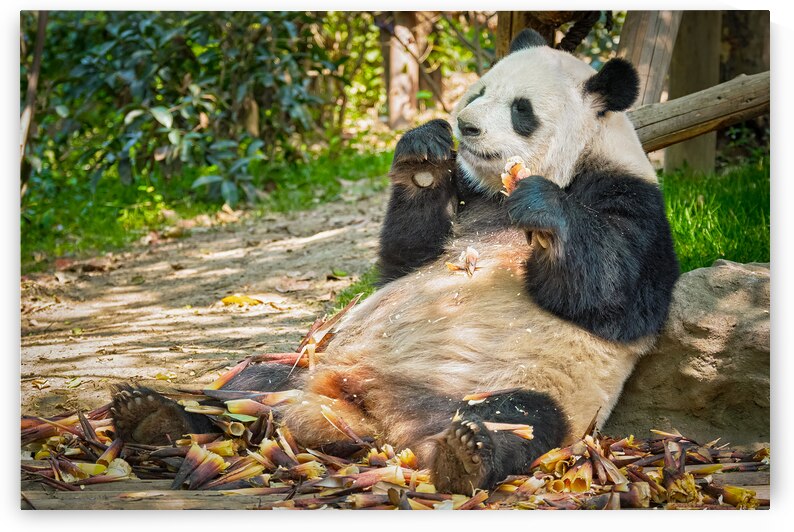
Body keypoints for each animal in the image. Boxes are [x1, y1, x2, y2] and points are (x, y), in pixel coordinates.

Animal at [112, 29, 679, 495]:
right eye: (480, 92)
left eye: (521, 109)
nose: (466, 126)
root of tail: (373, 417)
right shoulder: (471, 199)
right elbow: (406, 258)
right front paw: (425, 151)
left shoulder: (634, 201)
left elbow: (614, 294)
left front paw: (542, 207)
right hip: (308, 363)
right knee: (248, 386)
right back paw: (158, 416)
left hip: (528, 383)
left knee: (520, 417)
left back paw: (466, 457)